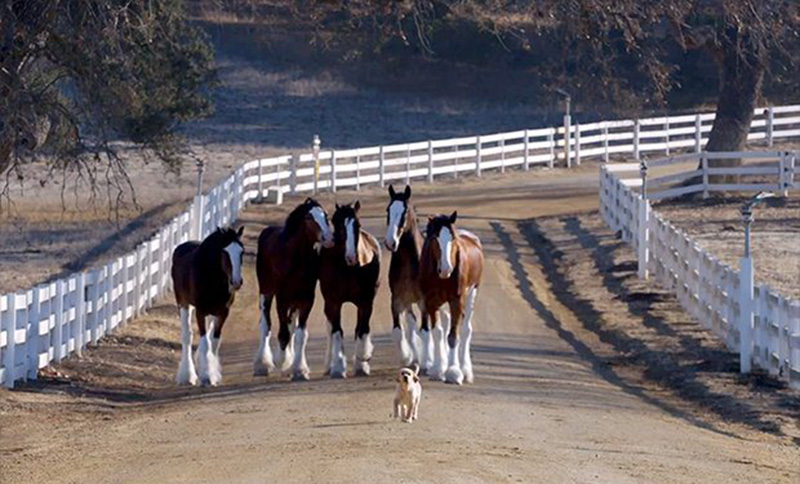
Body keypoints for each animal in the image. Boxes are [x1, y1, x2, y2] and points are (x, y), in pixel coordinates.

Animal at [170, 225, 242, 388]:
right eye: (225, 252)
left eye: (242, 251)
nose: (236, 281)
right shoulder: (200, 311)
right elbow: (204, 342)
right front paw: (206, 376)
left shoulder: (223, 312)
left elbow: (213, 342)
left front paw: (213, 375)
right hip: (183, 303)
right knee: (187, 336)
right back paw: (187, 376)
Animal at [255, 199, 332, 380]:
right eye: (309, 218)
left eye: (325, 215)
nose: (329, 237)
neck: (296, 260)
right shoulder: (281, 299)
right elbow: (283, 334)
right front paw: (282, 361)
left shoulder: (306, 300)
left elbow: (300, 335)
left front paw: (298, 369)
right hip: (266, 292)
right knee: (265, 324)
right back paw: (262, 364)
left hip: (294, 301)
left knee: (290, 326)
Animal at [318, 200, 382, 378]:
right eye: (337, 224)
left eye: (357, 224)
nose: (351, 257)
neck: (347, 269)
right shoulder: (333, 302)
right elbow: (336, 331)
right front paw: (338, 368)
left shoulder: (366, 303)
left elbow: (362, 329)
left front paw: (362, 364)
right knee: (329, 328)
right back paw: (328, 365)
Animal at [386, 184, 434, 370]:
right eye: (388, 210)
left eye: (404, 211)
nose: (390, 242)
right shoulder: (397, 299)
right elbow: (398, 331)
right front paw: (407, 357)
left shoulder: (424, 301)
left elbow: (425, 331)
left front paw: (428, 361)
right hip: (408, 302)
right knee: (412, 323)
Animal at [418, 213, 482, 386]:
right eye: (434, 238)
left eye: (452, 238)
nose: (446, 269)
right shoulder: (431, 302)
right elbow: (437, 332)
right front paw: (438, 369)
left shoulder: (456, 301)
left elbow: (453, 336)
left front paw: (453, 372)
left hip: (472, 294)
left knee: (466, 329)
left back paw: (465, 370)